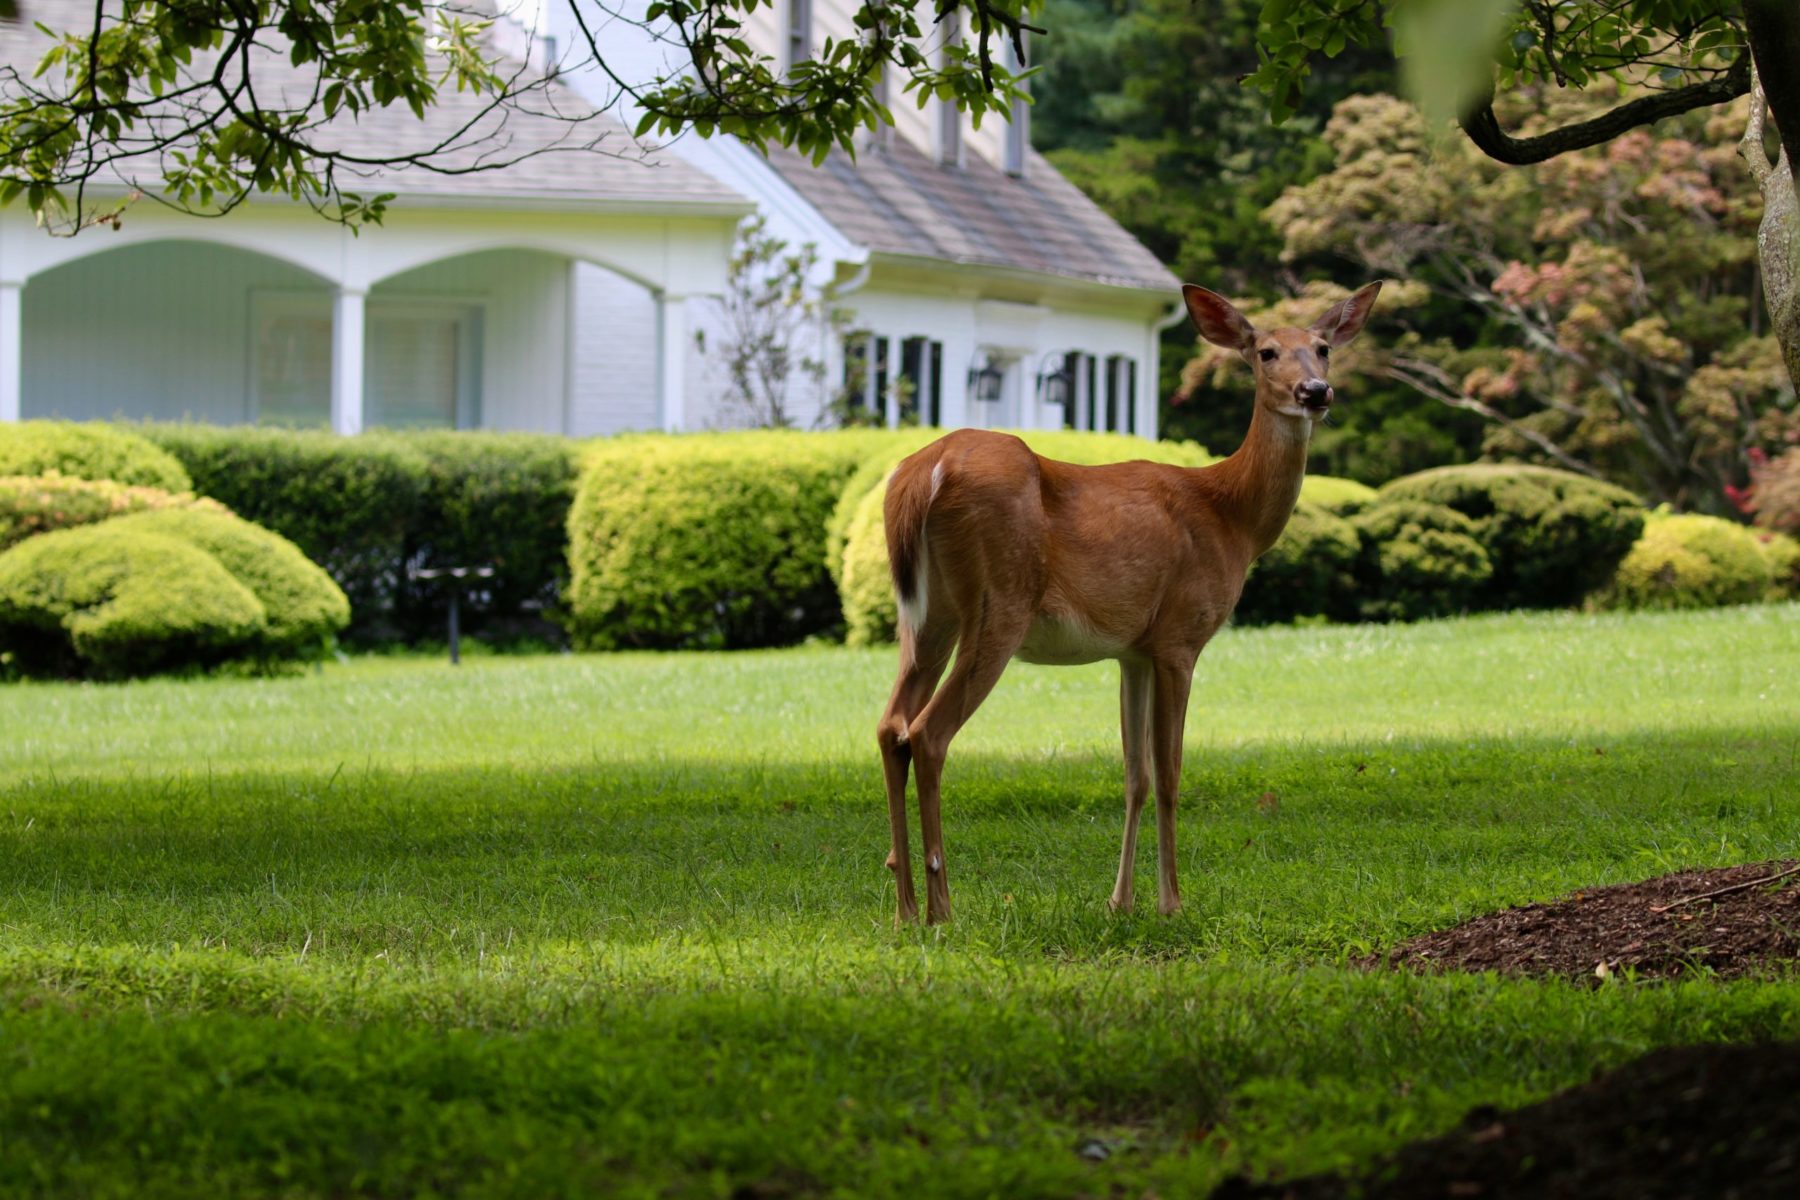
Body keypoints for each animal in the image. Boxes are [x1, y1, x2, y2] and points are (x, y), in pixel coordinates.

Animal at [873, 281, 1382, 924]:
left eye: (1323, 349)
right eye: (1265, 352)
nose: (1315, 391)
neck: (1232, 516)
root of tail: (922, 474)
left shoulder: (1132, 650)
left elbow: (1133, 774)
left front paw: (1120, 900)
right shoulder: (1179, 637)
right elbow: (1169, 773)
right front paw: (1172, 902)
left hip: (926, 614)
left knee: (890, 726)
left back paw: (904, 908)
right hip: (999, 602)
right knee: (929, 733)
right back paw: (942, 908)